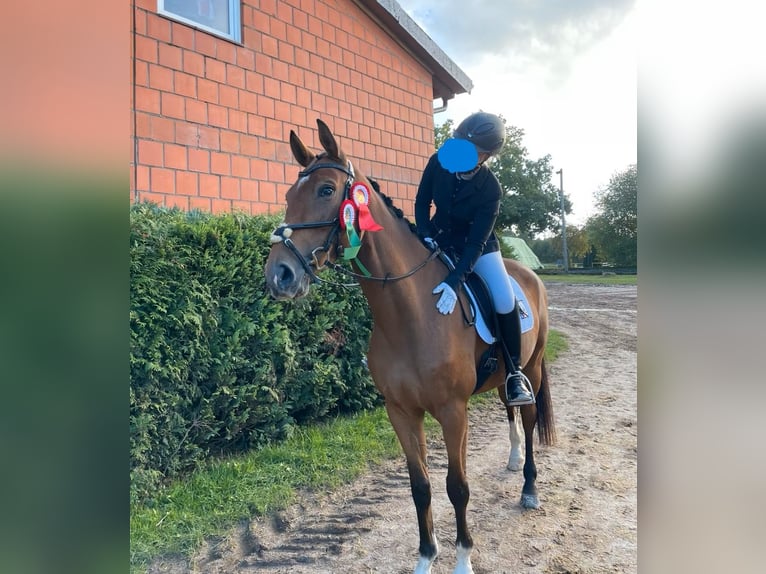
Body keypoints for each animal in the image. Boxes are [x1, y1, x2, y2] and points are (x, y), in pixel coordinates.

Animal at [265, 119, 555, 574]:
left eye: (327, 190)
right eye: (289, 196)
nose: (279, 275)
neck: (410, 314)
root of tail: (526, 273)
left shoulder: (453, 412)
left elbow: (457, 486)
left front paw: (462, 560)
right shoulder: (401, 412)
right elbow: (420, 486)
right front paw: (425, 558)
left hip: (535, 366)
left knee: (527, 419)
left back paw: (528, 488)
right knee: (510, 406)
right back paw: (511, 459)